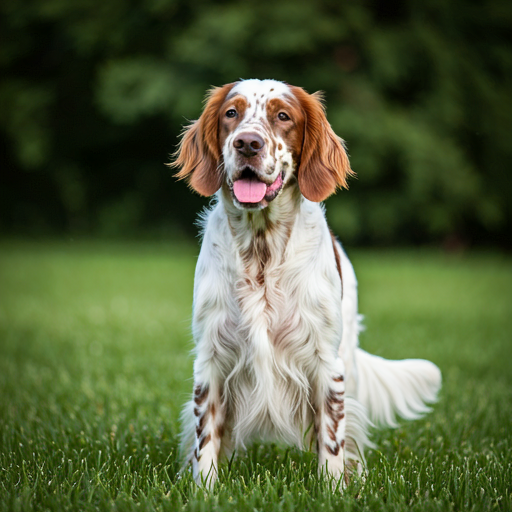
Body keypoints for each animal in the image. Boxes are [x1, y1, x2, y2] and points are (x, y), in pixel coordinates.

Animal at [171, 79, 440, 488]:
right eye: (231, 113)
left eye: (283, 116)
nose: (247, 143)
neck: (262, 253)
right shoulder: (212, 358)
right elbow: (206, 438)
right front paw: (205, 490)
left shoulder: (325, 363)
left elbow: (332, 437)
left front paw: (333, 490)